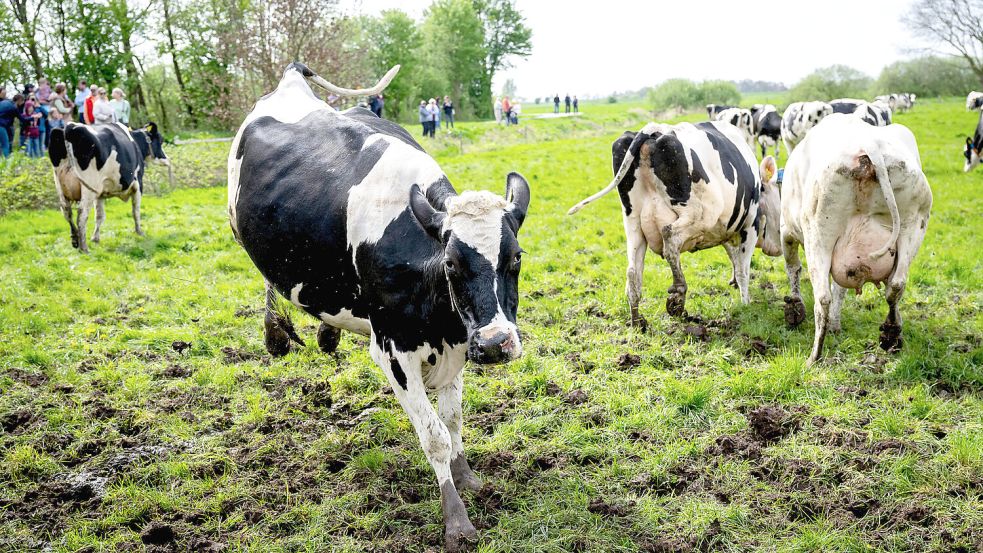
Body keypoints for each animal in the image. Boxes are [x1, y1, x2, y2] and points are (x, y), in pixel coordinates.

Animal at [49, 121, 172, 253]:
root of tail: (69, 126)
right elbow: (136, 211)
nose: (167, 159)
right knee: (82, 215)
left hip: (60, 186)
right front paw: (139, 232)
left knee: (67, 212)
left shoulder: (100, 194)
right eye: (160, 140)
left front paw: (95, 238)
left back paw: (75, 240)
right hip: (88, 188)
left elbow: (99, 216)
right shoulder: (138, 184)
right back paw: (84, 248)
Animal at [228, 62, 531, 551]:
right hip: (239, 228)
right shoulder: (392, 351)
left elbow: (453, 419)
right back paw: (276, 331)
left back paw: (326, 330)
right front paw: (456, 519)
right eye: (451, 262)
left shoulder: (458, 342)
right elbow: (435, 436)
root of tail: (291, 81)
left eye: (516, 257)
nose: (496, 344)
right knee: (268, 281)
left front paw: (467, 477)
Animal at [567, 121, 781, 327]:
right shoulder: (749, 226)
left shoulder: (725, 229)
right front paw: (745, 304)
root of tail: (654, 130)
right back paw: (677, 296)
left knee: (632, 271)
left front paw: (734, 283)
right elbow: (743, 269)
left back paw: (637, 321)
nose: (777, 249)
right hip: (697, 215)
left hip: (634, 223)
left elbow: (734, 259)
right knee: (670, 237)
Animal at [780, 114, 932, 365]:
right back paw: (891, 334)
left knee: (823, 298)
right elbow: (841, 288)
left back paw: (814, 357)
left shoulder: (787, 231)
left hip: (818, 232)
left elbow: (793, 268)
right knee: (896, 285)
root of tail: (870, 145)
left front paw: (794, 309)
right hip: (914, 224)